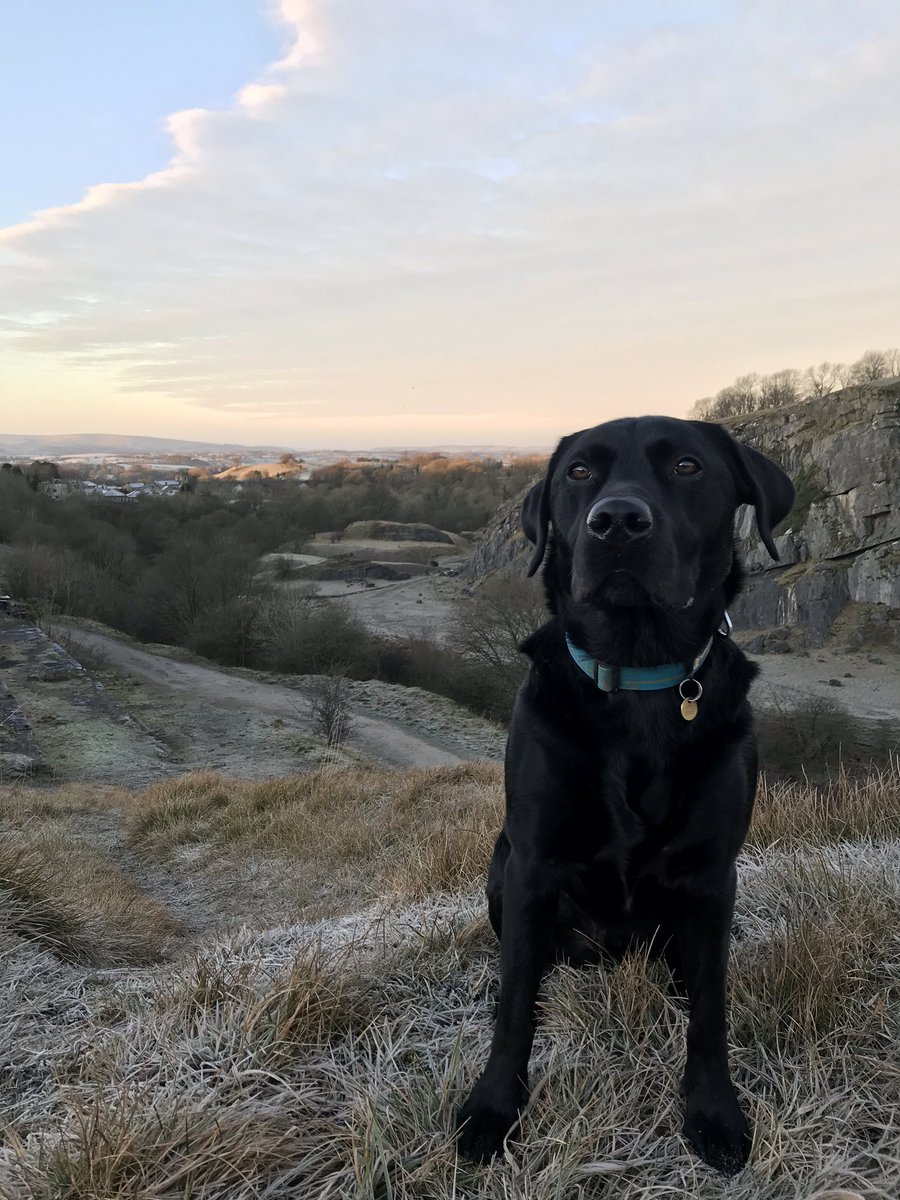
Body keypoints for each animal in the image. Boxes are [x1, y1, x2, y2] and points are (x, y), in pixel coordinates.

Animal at [458, 412, 796, 1171]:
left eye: (688, 467)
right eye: (580, 472)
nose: (616, 522)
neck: (638, 674)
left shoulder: (713, 874)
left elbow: (709, 1010)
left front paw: (714, 1113)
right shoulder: (532, 863)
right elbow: (514, 1006)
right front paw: (492, 1110)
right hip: (500, 862)